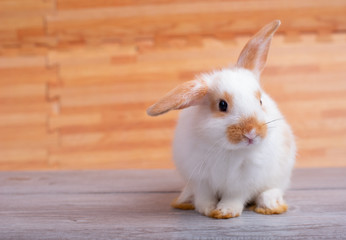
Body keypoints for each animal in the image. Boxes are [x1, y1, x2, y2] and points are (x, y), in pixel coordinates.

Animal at [147, 20, 296, 219]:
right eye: (222, 105)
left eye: (260, 101)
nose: (252, 132)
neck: (228, 150)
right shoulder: (200, 179)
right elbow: (204, 196)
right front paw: (206, 210)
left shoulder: (243, 182)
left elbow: (234, 197)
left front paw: (225, 212)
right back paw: (184, 200)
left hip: (280, 176)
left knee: (273, 190)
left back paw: (271, 205)